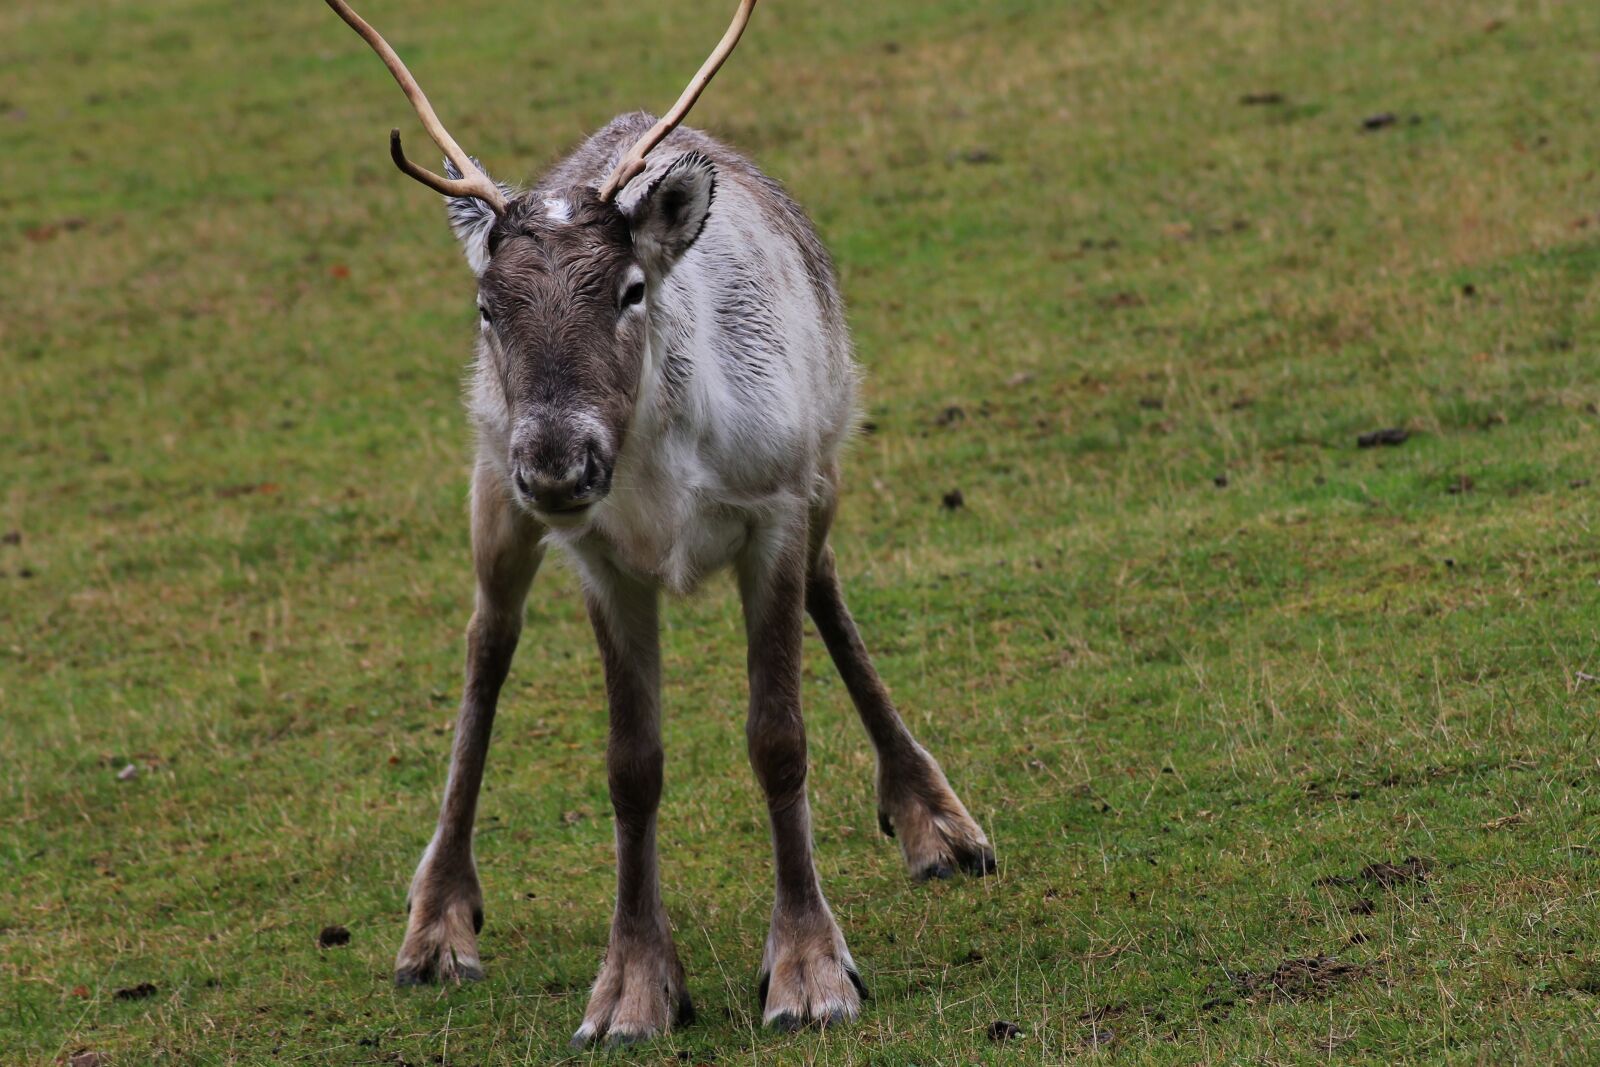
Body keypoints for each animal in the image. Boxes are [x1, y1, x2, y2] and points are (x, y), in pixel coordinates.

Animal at [323, 0, 995, 1046]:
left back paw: (938, 822)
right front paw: (634, 989)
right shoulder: (603, 562)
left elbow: (778, 738)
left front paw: (810, 972)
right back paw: (436, 922)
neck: (659, 484)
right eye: (487, 306)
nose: (559, 462)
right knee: (486, 642)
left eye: (630, 288)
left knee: (829, 593)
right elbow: (630, 766)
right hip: (492, 494)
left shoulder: (774, 512)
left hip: (826, 470)